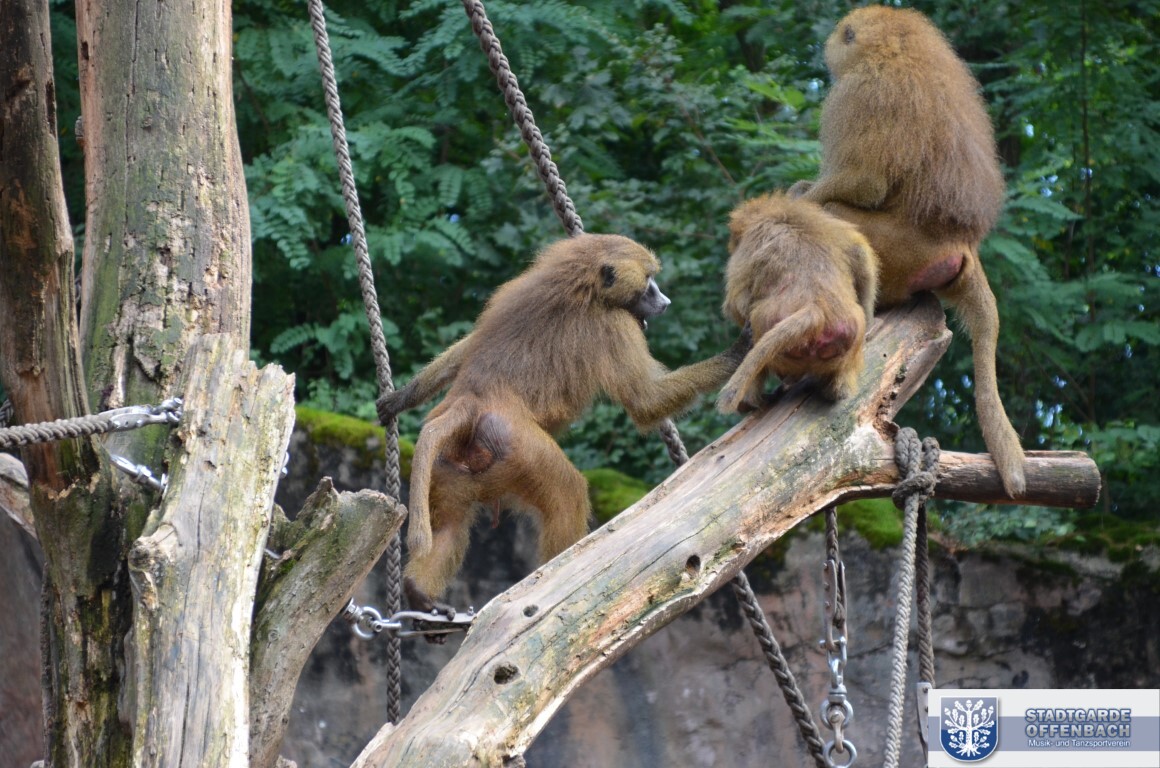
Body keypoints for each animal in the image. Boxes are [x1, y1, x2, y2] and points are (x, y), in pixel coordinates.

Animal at [379, 234, 751, 613]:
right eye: (648, 281)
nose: (664, 301)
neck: (581, 284)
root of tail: (472, 400)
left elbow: (467, 346)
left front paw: (400, 398)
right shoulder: (613, 324)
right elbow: (645, 402)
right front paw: (739, 351)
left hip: (448, 464)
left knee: (450, 527)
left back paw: (419, 594)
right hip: (520, 447)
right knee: (567, 493)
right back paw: (554, 579)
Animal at [717, 192, 878, 412]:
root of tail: (816, 308)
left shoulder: (747, 248)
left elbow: (737, 304)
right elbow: (860, 254)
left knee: (755, 331)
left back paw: (749, 403)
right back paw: (836, 392)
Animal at [789, 6, 1026, 497]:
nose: (827, 49)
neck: (895, 48)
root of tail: (961, 244)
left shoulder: (857, 91)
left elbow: (861, 181)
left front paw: (801, 194)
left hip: (899, 255)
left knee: (839, 219)